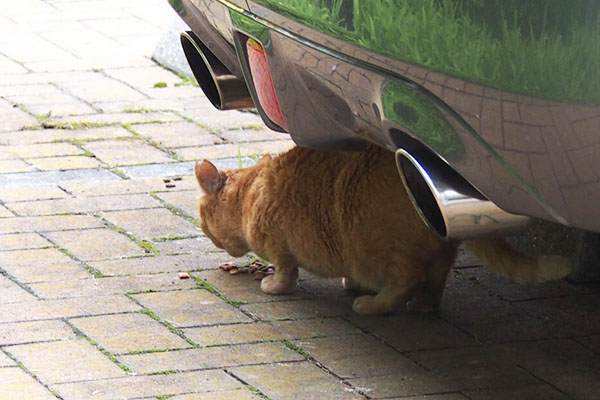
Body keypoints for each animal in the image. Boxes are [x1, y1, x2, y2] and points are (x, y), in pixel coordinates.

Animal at [197, 144, 572, 316]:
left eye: (202, 221)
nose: (211, 240)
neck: (249, 191)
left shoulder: (280, 247)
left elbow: (286, 274)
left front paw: (273, 285)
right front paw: (352, 283)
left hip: (379, 247)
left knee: (406, 279)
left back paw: (374, 304)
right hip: (438, 255)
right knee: (434, 280)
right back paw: (422, 306)